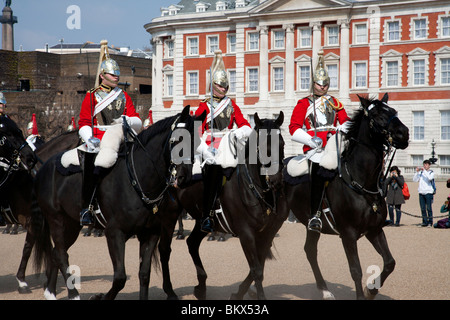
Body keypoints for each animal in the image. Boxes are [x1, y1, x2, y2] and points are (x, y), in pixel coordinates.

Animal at [32, 107, 206, 300]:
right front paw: (100, 297)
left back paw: (50, 292)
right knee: (61, 254)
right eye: (177, 140)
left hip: (71, 224)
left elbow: (144, 274)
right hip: (56, 220)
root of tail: (44, 167)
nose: (184, 177)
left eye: (197, 142)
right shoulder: (114, 233)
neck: (138, 179)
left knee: (57, 252)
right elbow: (120, 277)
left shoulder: (150, 233)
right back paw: (73, 294)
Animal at [173, 111, 288, 298]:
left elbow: (259, 267)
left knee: (192, 243)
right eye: (261, 144)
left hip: (202, 221)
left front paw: (240, 292)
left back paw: (201, 287)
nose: (276, 180)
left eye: (282, 143)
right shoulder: (246, 233)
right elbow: (257, 270)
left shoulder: (268, 233)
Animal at [286, 94, 410, 298]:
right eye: (377, 115)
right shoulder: (348, 234)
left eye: (394, 111)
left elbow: (390, 262)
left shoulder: (374, 230)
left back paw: (325, 291)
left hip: (311, 226)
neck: (362, 182)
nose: (404, 134)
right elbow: (356, 270)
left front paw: (371, 290)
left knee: (310, 251)